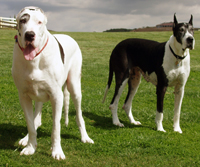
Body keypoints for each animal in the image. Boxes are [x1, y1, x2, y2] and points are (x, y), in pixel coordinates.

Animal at [12, 6, 94, 160]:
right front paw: (30, 146)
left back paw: (85, 137)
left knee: (79, 116)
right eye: (23, 20)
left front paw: (57, 151)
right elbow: (30, 124)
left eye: (39, 22)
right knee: (36, 119)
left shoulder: (57, 96)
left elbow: (56, 127)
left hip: (74, 87)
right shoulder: (23, 96)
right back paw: (26, 138)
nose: (29, 35)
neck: (35, 59)